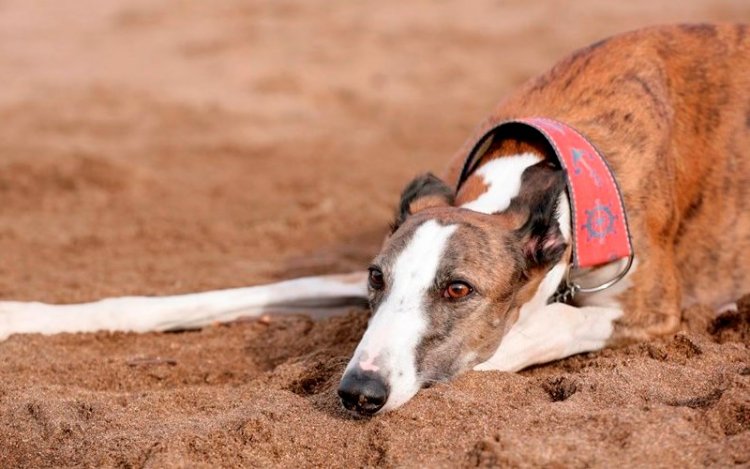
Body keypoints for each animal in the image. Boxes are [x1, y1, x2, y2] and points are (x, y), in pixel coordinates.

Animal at [1, 23, 750, 414]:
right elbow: (217, 294)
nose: (358, 392)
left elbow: (507, 342)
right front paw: (26, 314)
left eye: (459, 289)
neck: (549, 162)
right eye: (376, 279)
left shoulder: (649, 309)